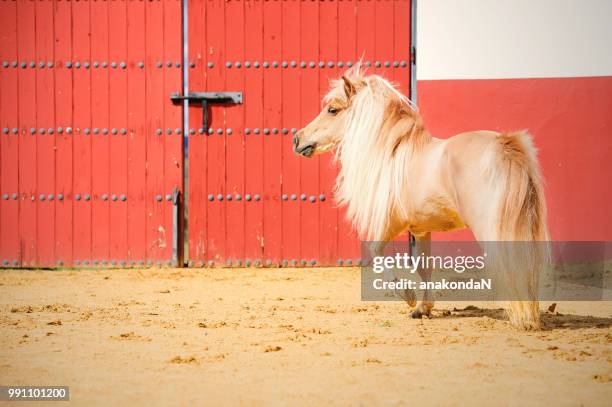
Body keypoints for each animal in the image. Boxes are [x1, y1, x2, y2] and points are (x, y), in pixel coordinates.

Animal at [294, 65, 548, 330]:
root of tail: (505, 145)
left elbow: (376, 252)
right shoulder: (421, 229)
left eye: (333, 110)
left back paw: (521, 317)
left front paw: (407, 295)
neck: (393, 156)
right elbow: (424, 268)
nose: (297, 139)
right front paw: (422, 308)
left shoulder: (393, 223)